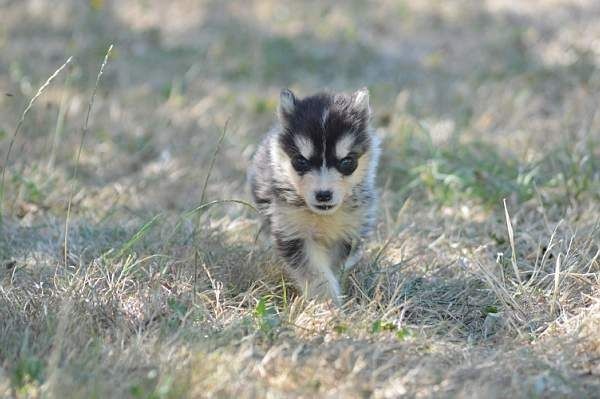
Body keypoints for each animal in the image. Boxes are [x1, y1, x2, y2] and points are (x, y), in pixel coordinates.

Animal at [248, 89, 380, 304]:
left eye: (347, 162)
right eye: (301, 161)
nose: (323, 195)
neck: (322, 217)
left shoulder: (349, 232)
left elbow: (334, 264)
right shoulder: (292, 230)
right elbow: (315, 270)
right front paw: (327, 302)